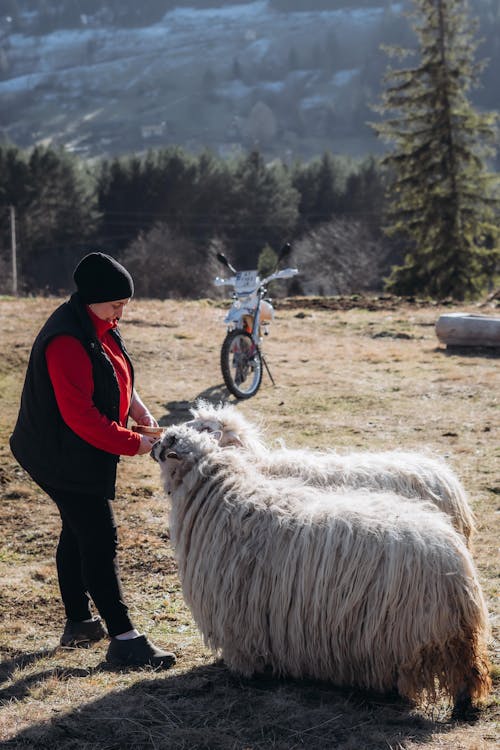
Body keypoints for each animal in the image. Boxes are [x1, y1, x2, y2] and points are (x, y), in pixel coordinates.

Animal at [152, 426, 488, 720]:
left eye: (169, 441)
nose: (152, 443)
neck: (222, 492)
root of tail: (454, 555)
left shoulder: (236, 609)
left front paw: (245, 673)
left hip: (414, 628)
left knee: (460, 671)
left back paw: (456, 705)